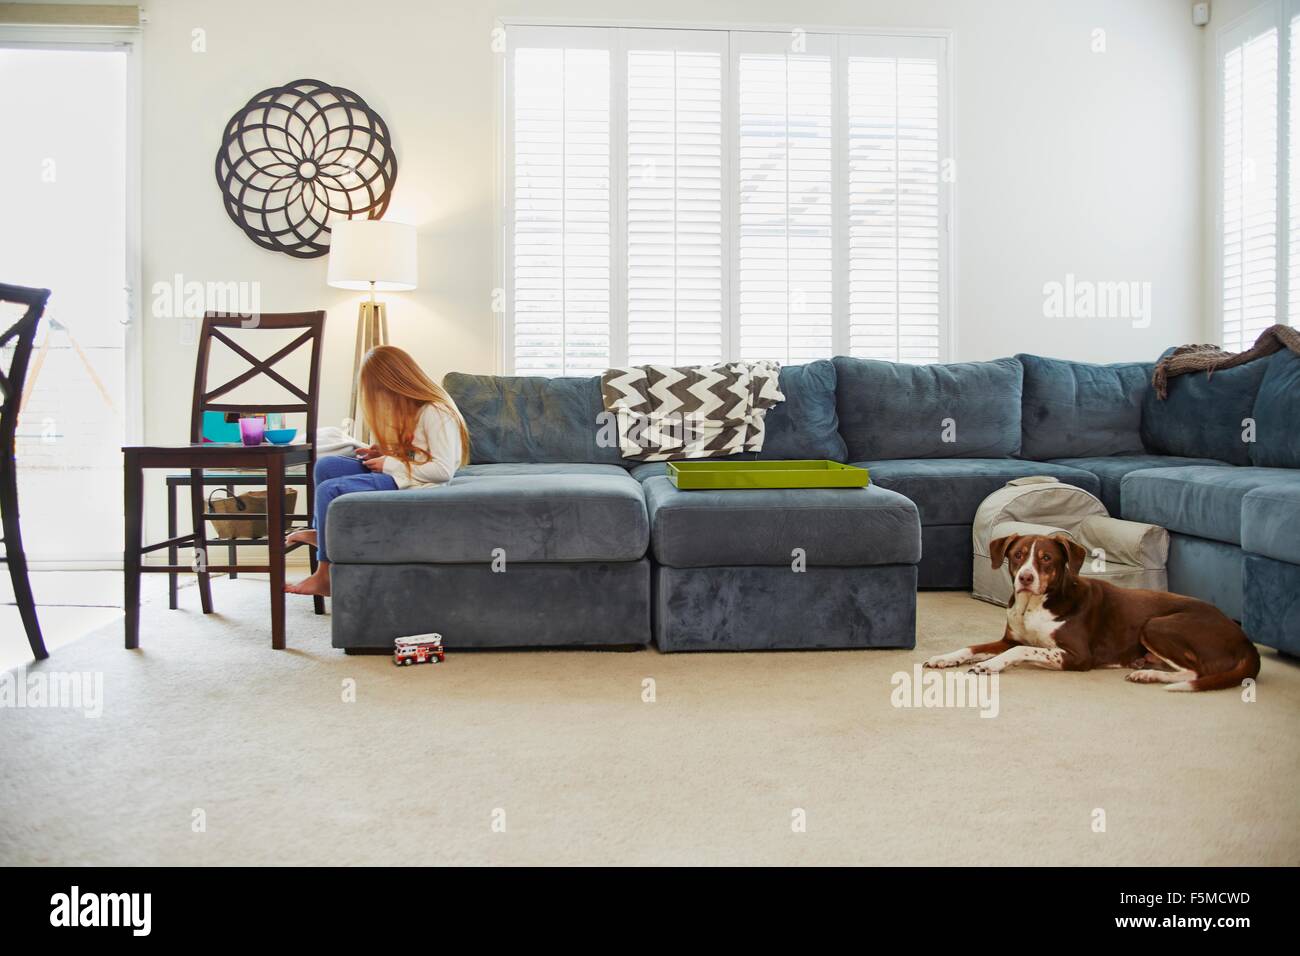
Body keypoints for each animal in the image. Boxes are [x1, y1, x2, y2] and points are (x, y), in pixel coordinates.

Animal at [925, 530, 1258, 697]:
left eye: (1046, 558)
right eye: (1017, 555)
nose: (1025, 578)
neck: (1034, 605)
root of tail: (1246, 640)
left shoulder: (1077, 655)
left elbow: (1020, 650)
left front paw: (990, 665)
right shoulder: (1009, 638)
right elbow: (972, 647)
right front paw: (944, 658)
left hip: (1157, 625)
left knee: (1197, 672)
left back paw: (1149, 673)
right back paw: (1145, 668)